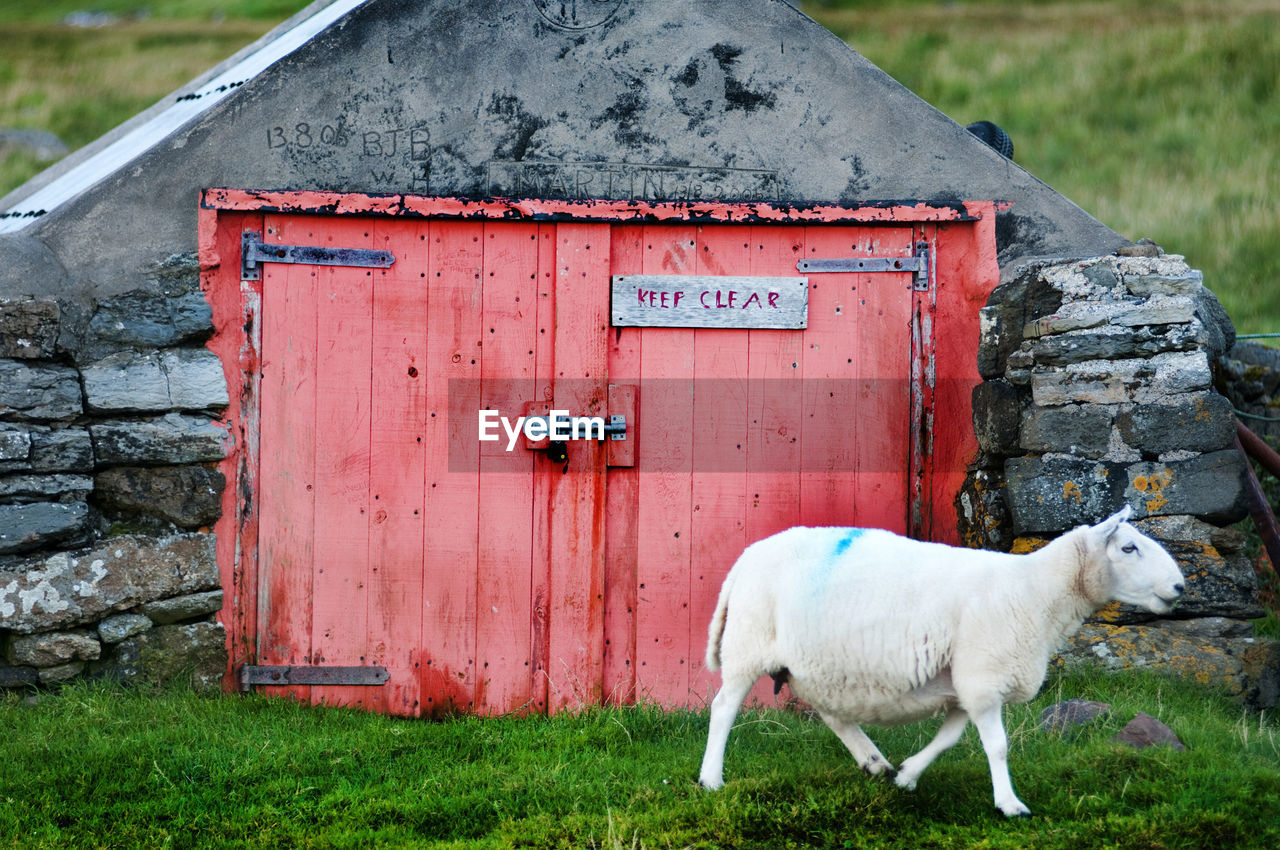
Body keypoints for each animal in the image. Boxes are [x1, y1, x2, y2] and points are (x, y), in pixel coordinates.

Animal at [696, 504, 1182, 819]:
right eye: (1129, 548)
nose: (1179, 587)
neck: (1034, 592)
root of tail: (746, 557)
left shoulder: (966, 682)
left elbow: (949, 739)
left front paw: (908, 776)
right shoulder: (984, 678)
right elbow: (997, 746)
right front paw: (1010, 805)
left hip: (815, 665)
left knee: (833, 716)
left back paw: (874, 762)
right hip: (747, 646)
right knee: (723, 708)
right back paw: (711, 779)